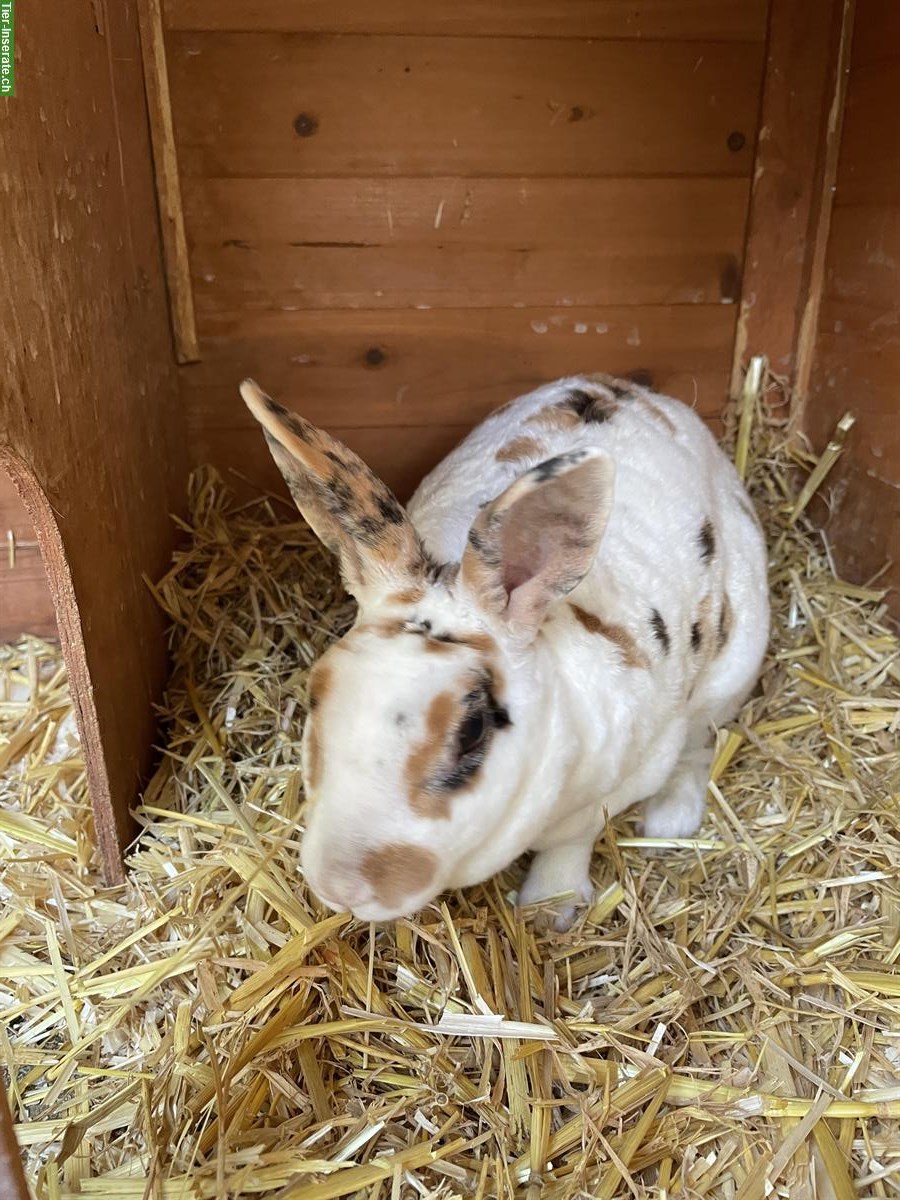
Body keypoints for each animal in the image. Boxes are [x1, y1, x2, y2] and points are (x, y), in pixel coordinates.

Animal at [240, 373, 769, 929]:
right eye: (316, 694)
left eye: (471, 730)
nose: (341, 887)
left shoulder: (613, 784)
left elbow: (572, 839)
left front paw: (548, 911)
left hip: (730, 674)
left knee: (702, 743)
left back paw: (671, 820)